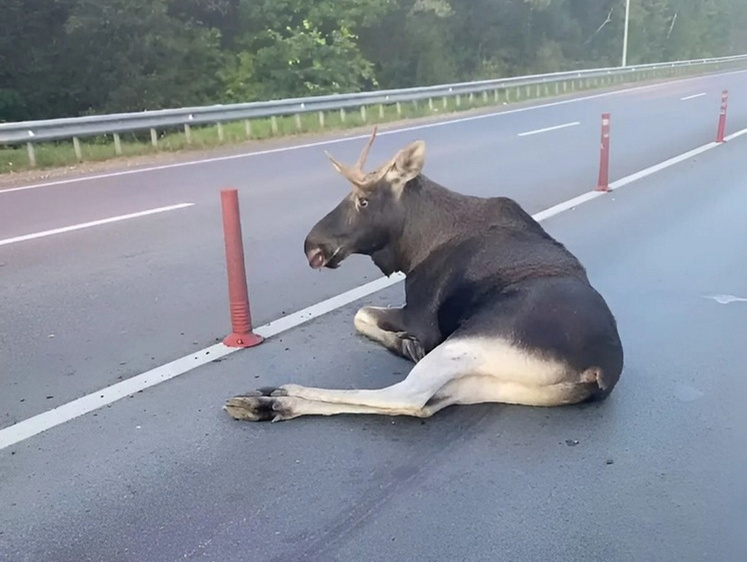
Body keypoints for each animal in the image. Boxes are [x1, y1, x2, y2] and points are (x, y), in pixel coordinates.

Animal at [224, 126, 624, 420]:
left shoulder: (422, 318)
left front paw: (405, 343)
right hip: (489, 383)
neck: (414, 247)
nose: (311, 246)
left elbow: (361, 314)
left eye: (363, 200)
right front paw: (403, 343)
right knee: (426, 405)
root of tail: (597, 372)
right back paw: (268, 404)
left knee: (407, 396)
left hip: (467, 343)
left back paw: (276, 395)